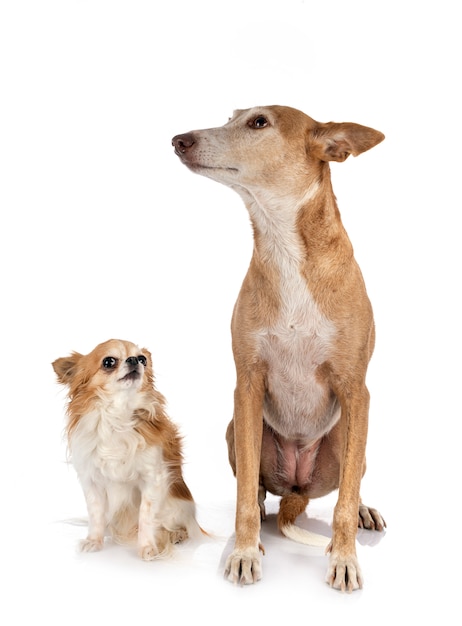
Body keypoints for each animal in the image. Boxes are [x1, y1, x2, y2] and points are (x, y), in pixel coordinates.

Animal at [52, 338, 202, 560]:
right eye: (108, 362)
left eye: (142, 359)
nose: (134, 360)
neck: (117, 416)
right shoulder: (91, 481)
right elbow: (95, 514)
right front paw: (94, 541)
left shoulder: (153, 478)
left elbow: (146, 516)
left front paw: (147, 547)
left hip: (175, 507)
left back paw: (176, 534)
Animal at [173, 105, 386, 588]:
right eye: (231, 117)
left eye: (259, 122)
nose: (179, 140)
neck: (285, 246)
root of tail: (297, 489)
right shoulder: (247, 386)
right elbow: (243, 503)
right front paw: (244, 551)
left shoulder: (356, 389)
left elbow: (344, 501)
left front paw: (344, 558)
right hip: (236, 428)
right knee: (252, 486)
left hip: (348, 435)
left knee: (351, 481)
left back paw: (363, 508)